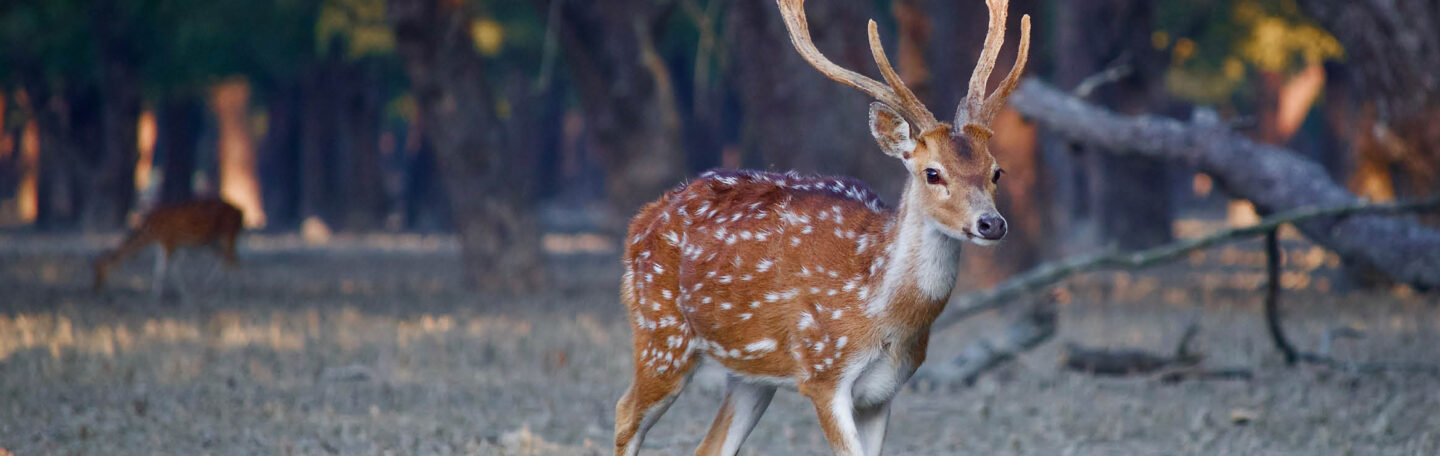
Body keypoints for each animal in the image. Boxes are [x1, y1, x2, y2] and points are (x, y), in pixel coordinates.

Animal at [95, 198, 244, 296]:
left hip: (228, 234)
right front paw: (157, 292)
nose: (95, 288)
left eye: (100, 269)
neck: (151, 231)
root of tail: (241, 213)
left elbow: (167, 268)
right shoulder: (164, 244)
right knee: (226, 259)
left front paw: (171, 293)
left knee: (233, 260)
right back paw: (211, 286)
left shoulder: (170, 242)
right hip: (213, 241)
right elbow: (160, 267)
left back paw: (234, 290)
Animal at [613, 0, 1031, 454]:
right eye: (932, 173)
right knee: (625, 413)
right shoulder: (823, 372)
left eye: (996, 171)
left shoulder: (884, 391)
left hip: (749, 373)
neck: (881, 314)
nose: (991, 223)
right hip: (661, 333)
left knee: (710, 444)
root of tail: (641, 220)